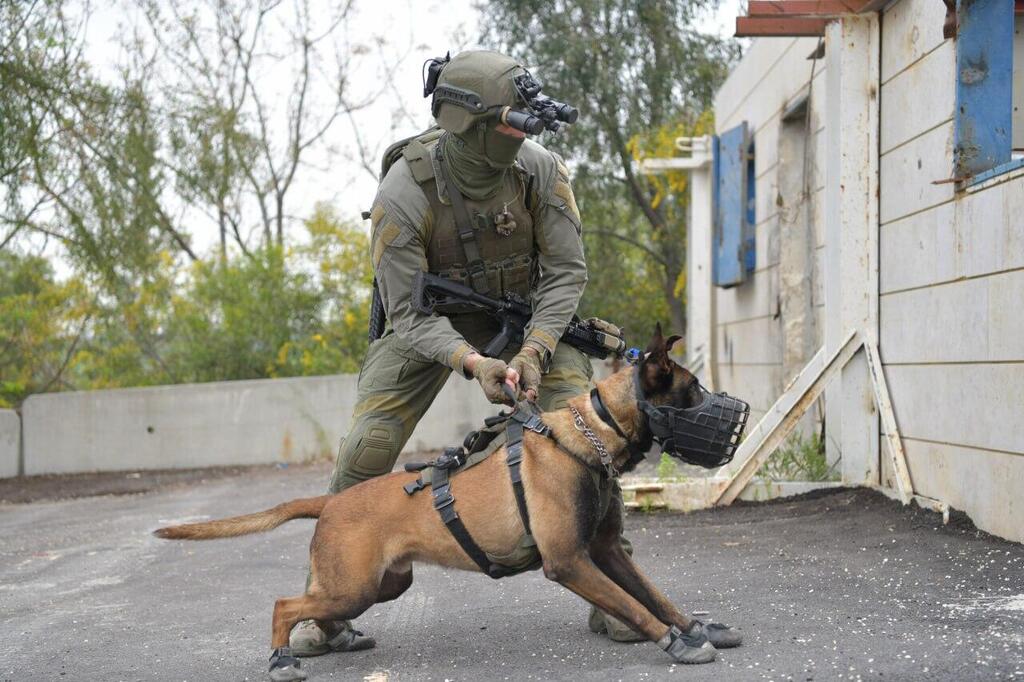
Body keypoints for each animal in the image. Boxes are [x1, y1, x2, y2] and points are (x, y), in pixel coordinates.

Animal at [153, 327, 745, 675]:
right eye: (694, 391)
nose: (738, 416)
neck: (589, 434)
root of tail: (331, 504)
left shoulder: (605, 552)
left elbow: (656, 596)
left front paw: (695, 629)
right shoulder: (570, 562)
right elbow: (635, 606)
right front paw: (675, 644)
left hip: (380, 585)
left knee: (315, 608)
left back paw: (333, 638)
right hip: (355, 585)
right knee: (284, 605)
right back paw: (281, 658)